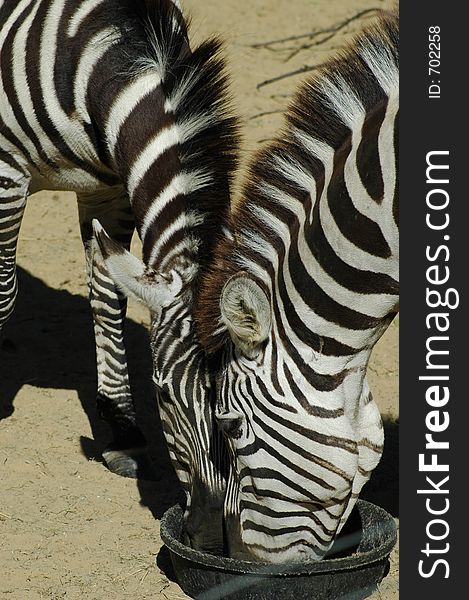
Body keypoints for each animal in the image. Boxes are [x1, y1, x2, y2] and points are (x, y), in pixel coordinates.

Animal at [0, 0, 238, 552]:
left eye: (240, 409)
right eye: (164, 392)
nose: (210, 535)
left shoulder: (108, 188)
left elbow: (107, 297)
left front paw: (122, 431)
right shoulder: (6, 173)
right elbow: (5, 292)